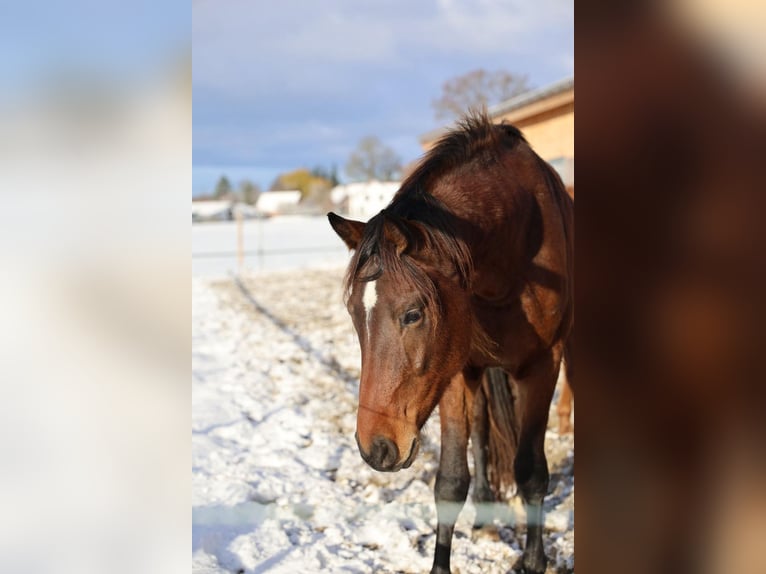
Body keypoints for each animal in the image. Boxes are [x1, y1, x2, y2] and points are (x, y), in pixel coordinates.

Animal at [328, 110, 572, 572]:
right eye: (353, 313)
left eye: (413, 314)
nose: (375, 448)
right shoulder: (455, 371)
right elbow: (451, 481)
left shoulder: (543, 365)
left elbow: (531, 471)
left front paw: (533, 560)